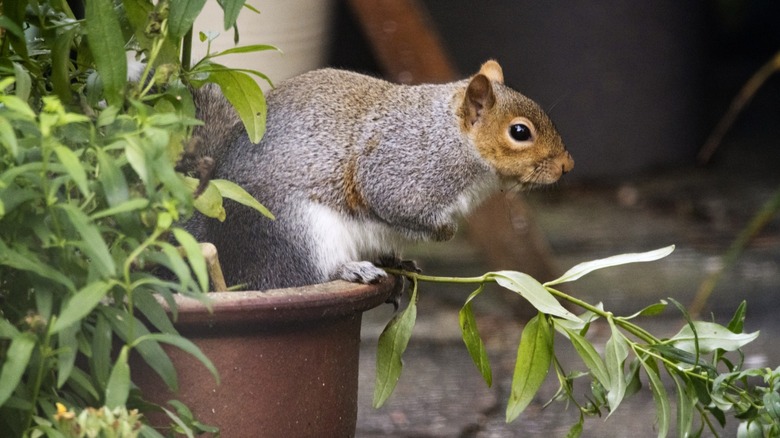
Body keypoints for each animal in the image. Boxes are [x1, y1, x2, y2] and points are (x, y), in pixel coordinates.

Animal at [184, 60, 574, 290]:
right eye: (520, 132)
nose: (566, 165)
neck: (452, 138)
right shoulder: (400, 169)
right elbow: (392, 204)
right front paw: (445, 232)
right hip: (297, 234)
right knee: (306, 276)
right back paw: (351, 270)